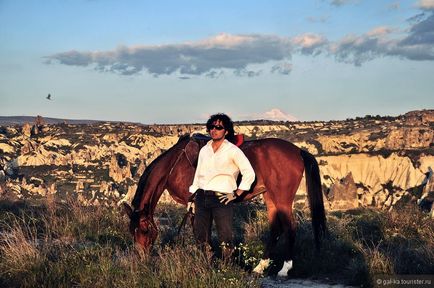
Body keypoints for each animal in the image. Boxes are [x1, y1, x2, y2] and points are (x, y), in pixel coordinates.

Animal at [122, 134, 326, 276]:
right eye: (132, 231)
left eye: (145, 230)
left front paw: (208, 260)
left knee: (290, 228)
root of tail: (298, 151)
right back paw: (259, 267)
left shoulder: (195, 203)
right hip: (270, 197)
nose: (142, 258)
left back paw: (285, 268)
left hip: (282, 198)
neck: (174, 165)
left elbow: (200, 235)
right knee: (276, 228)